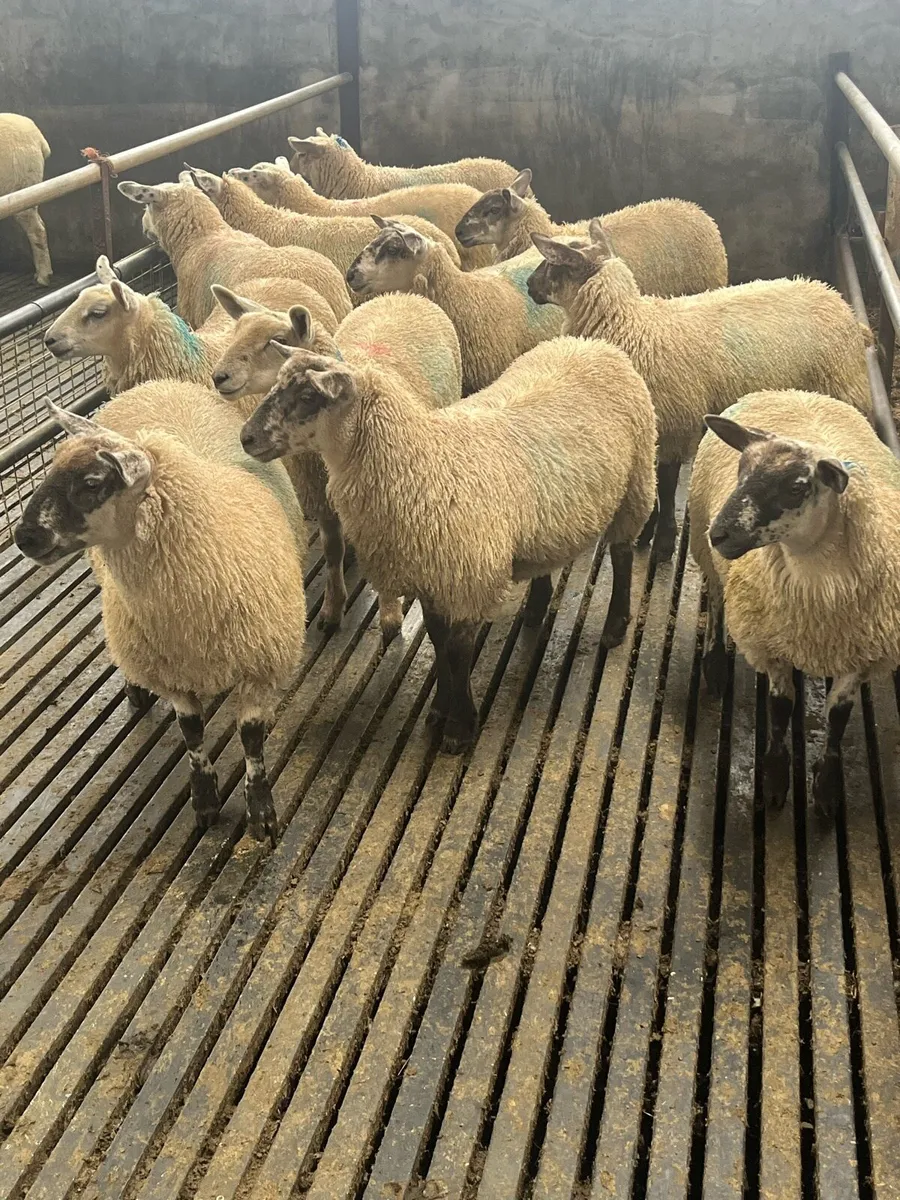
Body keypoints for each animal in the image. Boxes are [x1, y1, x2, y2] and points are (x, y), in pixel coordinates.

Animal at [14, 382, 309, 844]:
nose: (23, 537)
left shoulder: (261, 664)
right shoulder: (171, 672)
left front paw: (261, 814)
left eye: (92, 483)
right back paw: (134, 688)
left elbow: (251, 741)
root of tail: (154, 385)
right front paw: (204, 801)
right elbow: (191, 733)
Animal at [214, 289, 462, 644]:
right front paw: (332, 609)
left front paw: (389, 614)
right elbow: (332, 552)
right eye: (236, 333)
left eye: (277, 341)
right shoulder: (323, 502)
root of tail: (401, 293)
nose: (218, 377)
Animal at [239, 336, 657, 754]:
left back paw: (615, 626)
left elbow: (458, 648)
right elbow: (439, 641)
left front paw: (460, 725)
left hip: (635, 480)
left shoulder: (468, 578)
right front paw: (440, 707)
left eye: (308, 395)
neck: (421, 461)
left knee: (622, 553)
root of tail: (592, 344)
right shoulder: (431, 575)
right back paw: (537, 608)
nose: (246, 437)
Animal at [528, 223, 873, 562]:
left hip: (842, 388)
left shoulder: (675, 425)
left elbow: (666, 487)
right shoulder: (657, 429)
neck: (631, 327)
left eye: (553, 262)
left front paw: (663, 542)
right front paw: (649, 531)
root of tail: (841, 303)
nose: (530, 285)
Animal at [687, 388, 900, 819]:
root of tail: (788, 391)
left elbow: (837, 717)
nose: (720, 534)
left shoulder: (861, 651)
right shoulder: (771, 646)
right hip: (706, 553)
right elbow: (781, 707)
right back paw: (715, 665)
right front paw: (773, 779)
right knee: (716, 601)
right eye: (741, 470)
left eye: (797, 487)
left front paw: (828, 787)